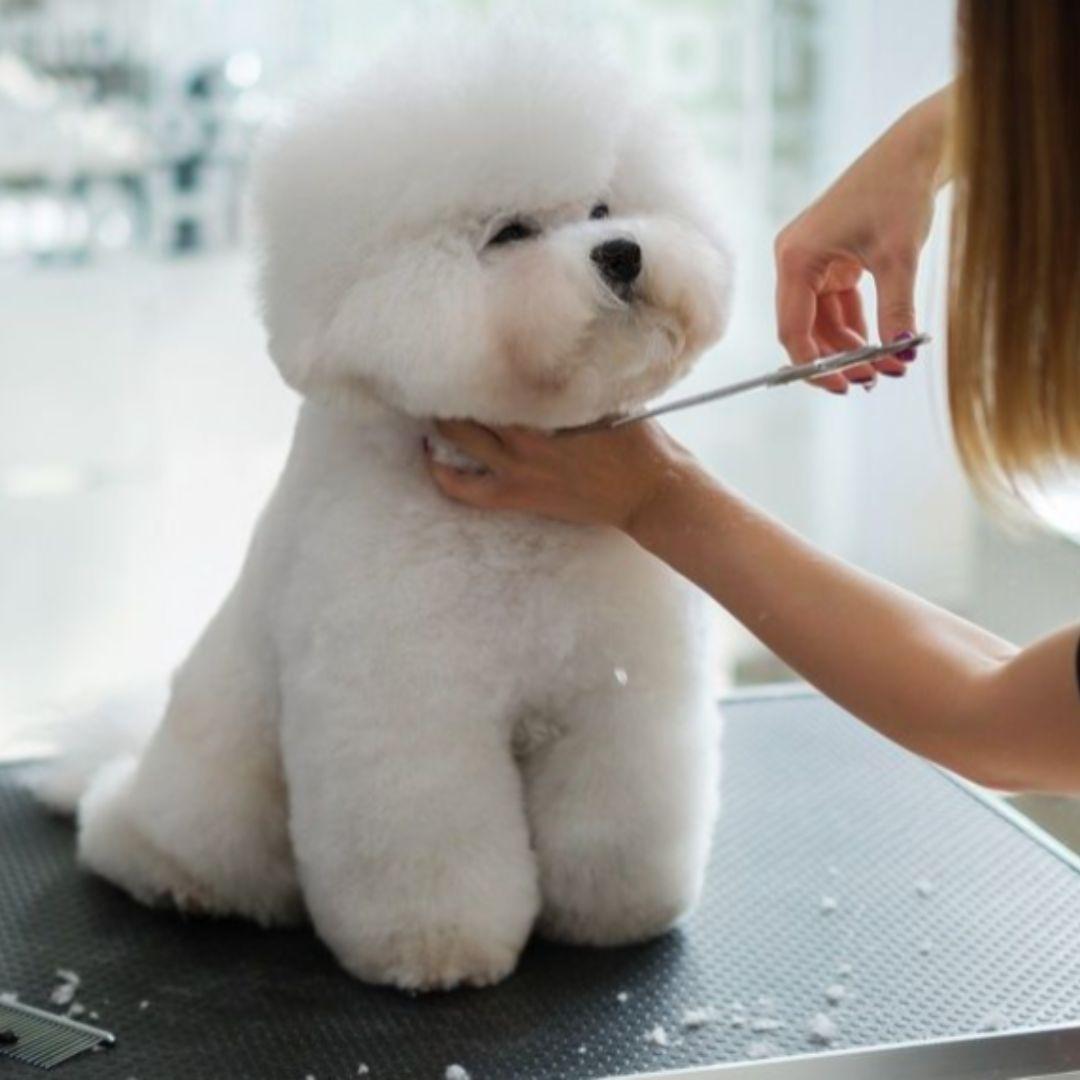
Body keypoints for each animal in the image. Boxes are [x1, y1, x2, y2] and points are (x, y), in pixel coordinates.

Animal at [35, 16, 734, 989]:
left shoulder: (619, 696)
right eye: (510, 233)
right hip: (213, 800)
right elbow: (427, 845)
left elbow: (617, 819)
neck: (517, 534)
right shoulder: (406, 712)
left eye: (604, 208)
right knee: (131, 836)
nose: (624, 253)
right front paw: (435, 949)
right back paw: (171, 875)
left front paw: (616, 916)